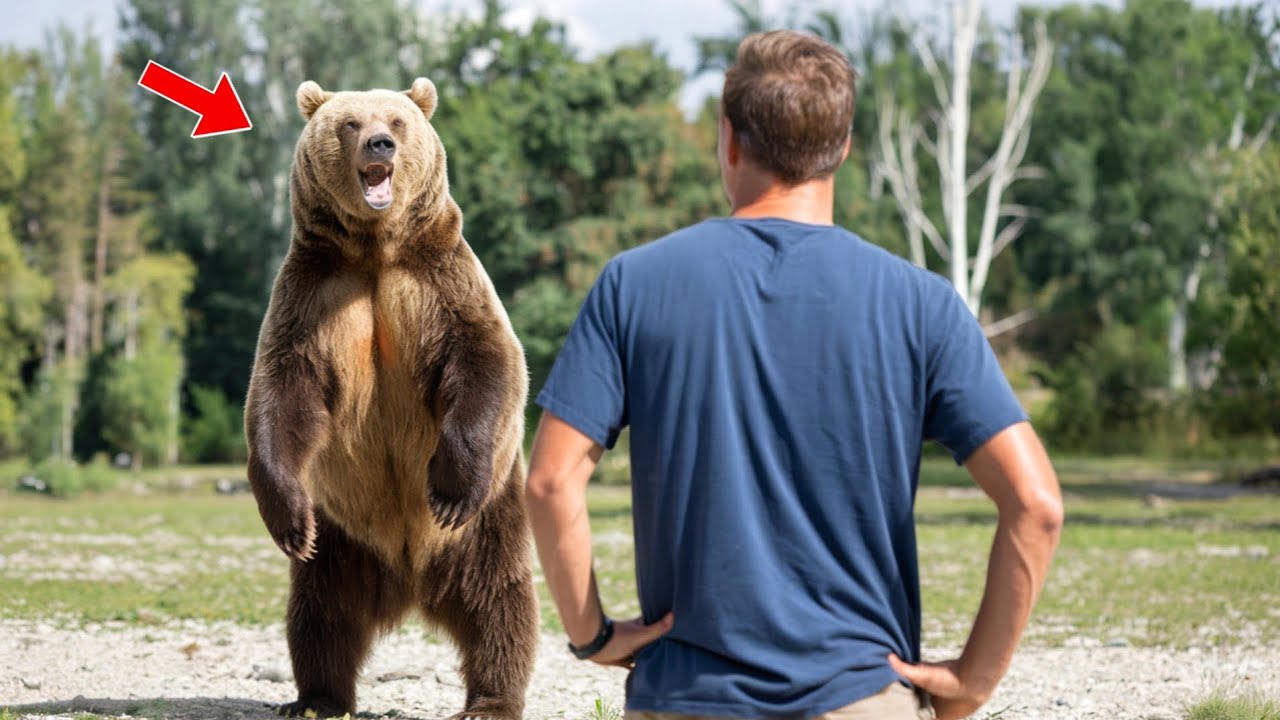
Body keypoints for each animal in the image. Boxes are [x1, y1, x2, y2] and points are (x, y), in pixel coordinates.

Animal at [243, 77, 538, 720]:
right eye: (349, 122)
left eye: (397, 122)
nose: (380, 142)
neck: (376, 252)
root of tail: (409, 579)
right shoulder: (313, 296)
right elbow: (283, 391)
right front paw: (286, 520)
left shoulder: (442, 284)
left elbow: (486, 360)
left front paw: (448, 485)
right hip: (341, 537)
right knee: (320, 615)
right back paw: (316, 696)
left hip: (488, 520)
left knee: (499, 600)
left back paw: (491, 698)